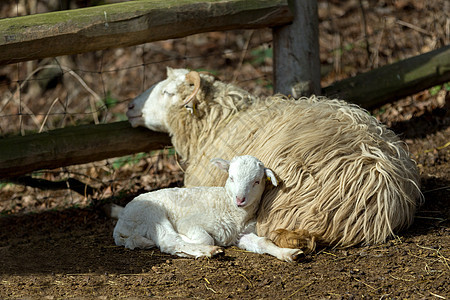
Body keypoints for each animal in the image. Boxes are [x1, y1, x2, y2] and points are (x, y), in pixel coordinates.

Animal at [112, 156, 302, 262]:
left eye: (257, 181)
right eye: (231, 178)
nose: (240, 199)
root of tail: (120, 225)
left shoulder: (241, 234)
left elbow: (263, 242)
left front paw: (289, 253)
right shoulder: (189, 223)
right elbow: (205, 238)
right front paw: (204, 244)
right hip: (150, 214)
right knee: (169, 241)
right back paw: (210, 251)